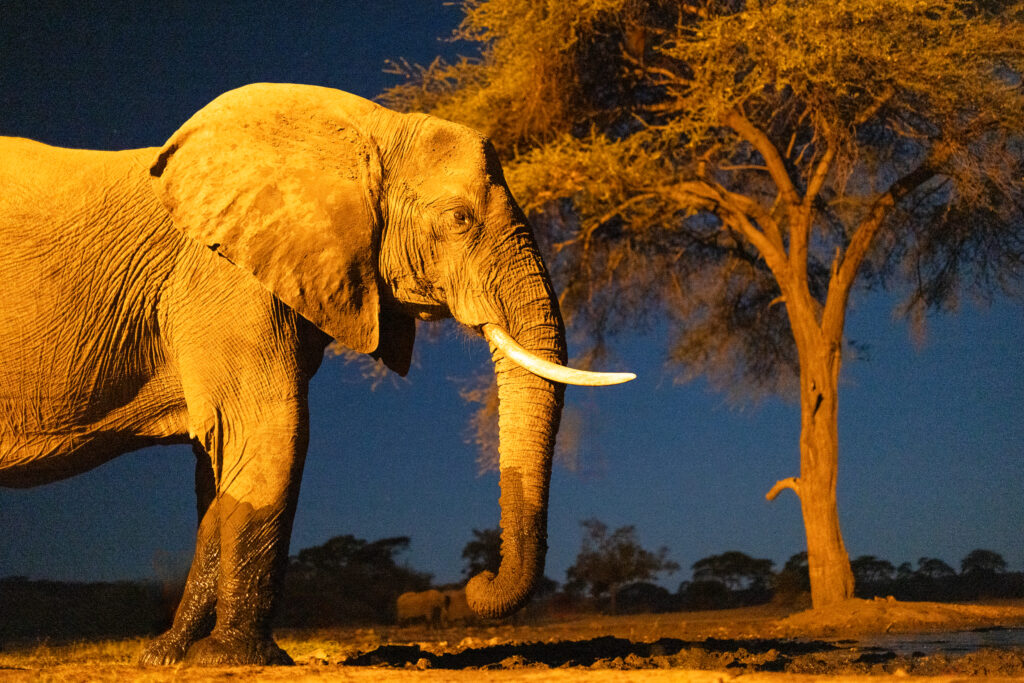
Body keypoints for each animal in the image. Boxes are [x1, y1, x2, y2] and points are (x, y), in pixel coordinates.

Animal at [0, 83, 633, 665]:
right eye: (459, 220)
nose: (477, 582)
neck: (368, 131)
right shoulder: (221, 280)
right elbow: (273, 433)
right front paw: (240, 659)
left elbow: (224, 471)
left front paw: (170, 658)